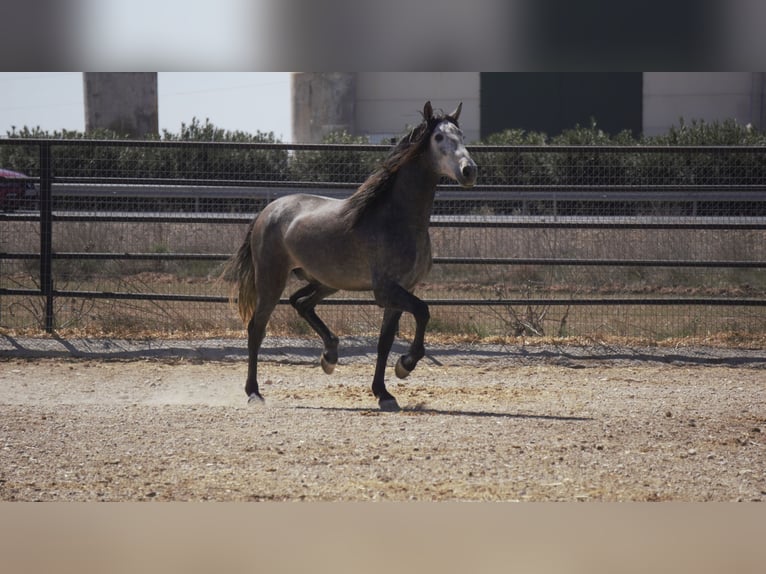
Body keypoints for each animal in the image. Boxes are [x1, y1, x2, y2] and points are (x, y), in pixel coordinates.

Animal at [222, 101, 476, 412]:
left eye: (461, 135)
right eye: (439, 137)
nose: (469, 171)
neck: (396, 218)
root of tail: (267, 211)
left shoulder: (401, 290)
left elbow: (385, 341)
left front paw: (384, 393)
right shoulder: (386, 290)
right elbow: (423, 311)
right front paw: (405, 365)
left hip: (325, 281)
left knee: (301, 303)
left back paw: (329, 357)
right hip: (272, 280)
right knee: (256, 328)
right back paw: (254, 392)